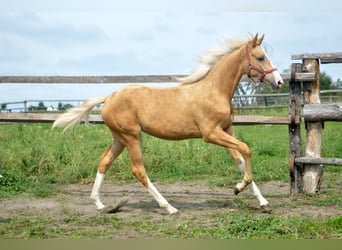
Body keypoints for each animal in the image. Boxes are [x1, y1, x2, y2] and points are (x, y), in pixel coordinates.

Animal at [53, 33, 284, 215]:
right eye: (260, 57)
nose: (279, 81)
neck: (214, 91)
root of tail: (109, 97)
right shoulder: (211, 134)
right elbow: (246, 149)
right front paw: (238, 188)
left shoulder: (227, 130)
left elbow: (240, 160)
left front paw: (262, 201)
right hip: (132, 136)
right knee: (138, 170)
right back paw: (169, 207)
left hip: (119, 138)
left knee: (104, 162)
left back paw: (100, 204)